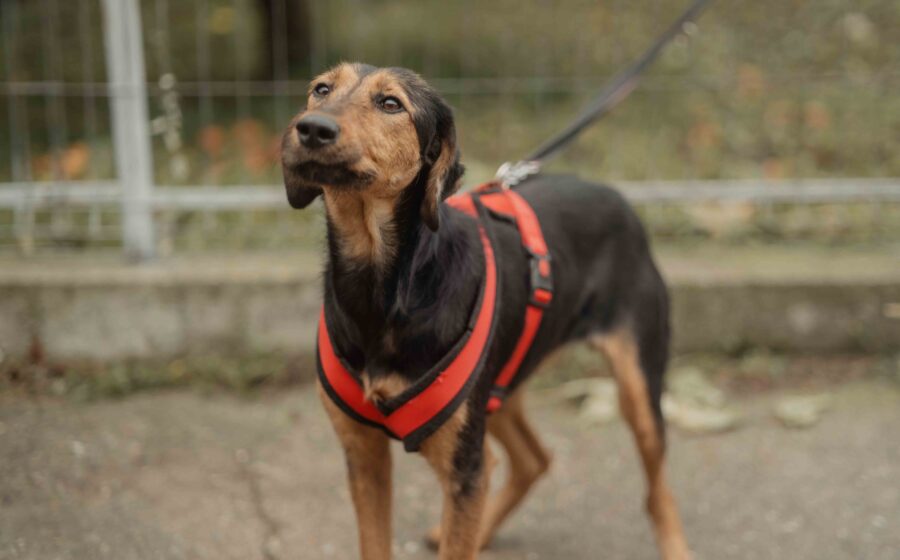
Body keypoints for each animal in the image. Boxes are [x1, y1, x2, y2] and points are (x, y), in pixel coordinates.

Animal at [281, 62, 691, 560]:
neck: (385, 290)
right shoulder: (364, 456)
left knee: (658, 492)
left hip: (637, 389)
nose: (311, 128)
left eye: (391, 104)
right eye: (320, 90)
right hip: (497, 387)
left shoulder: (464, 468)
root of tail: (616, 196)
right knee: (533, 460)